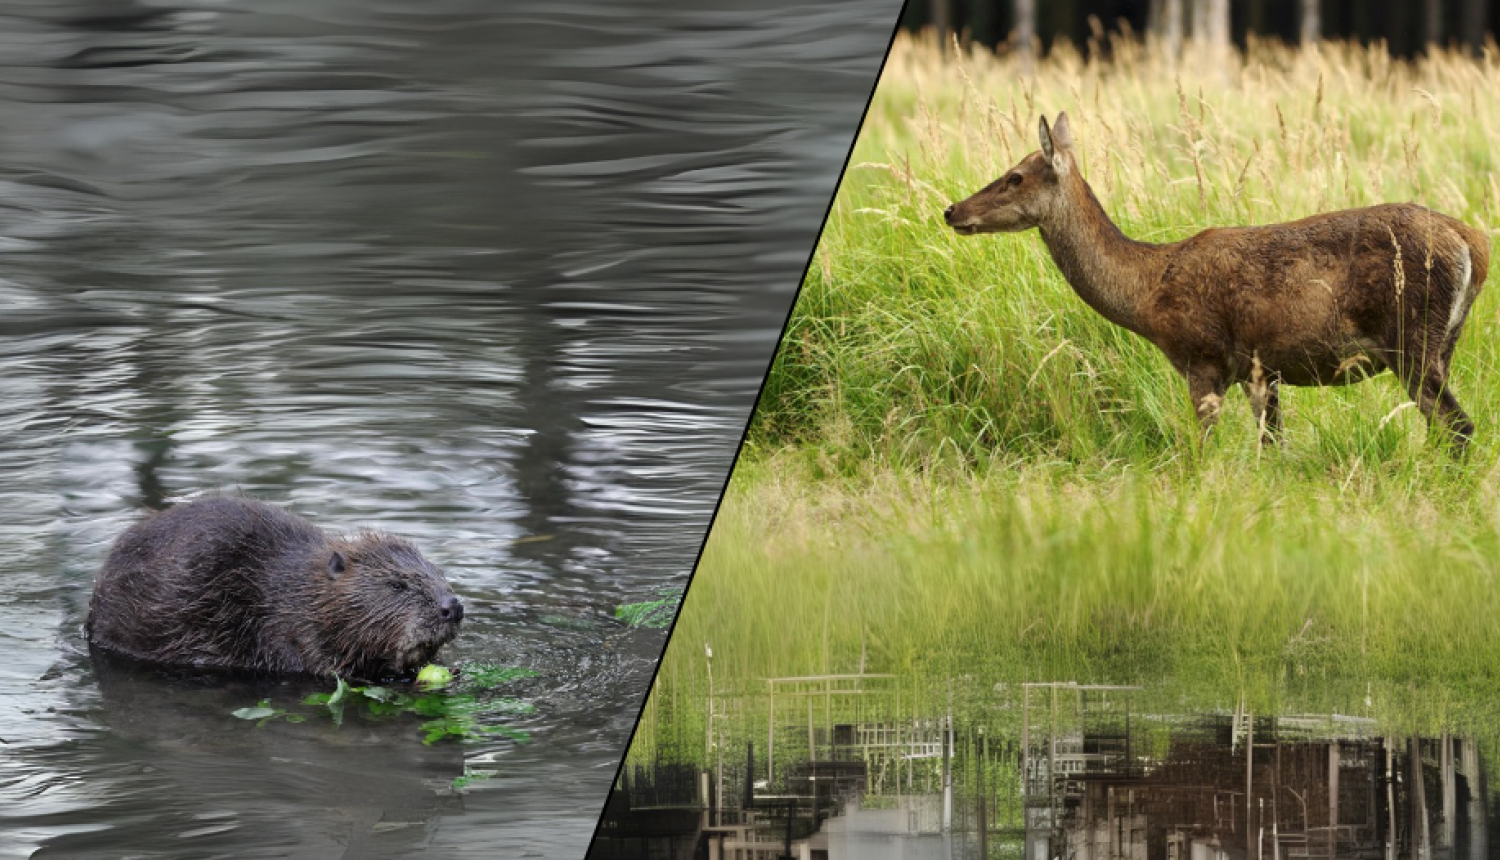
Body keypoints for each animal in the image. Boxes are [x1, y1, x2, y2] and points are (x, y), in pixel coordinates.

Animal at [948, 114, 1488, 456]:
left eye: (1015, 177)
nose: (952, 210)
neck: (1146, 291)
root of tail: (1474, 244)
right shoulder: (1261, 370)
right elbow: (1275, 449)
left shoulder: (1201, 357)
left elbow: (1203, 449)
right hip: (1444, 343)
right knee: (1446, 427)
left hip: (1411, 339)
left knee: (1460, 426)